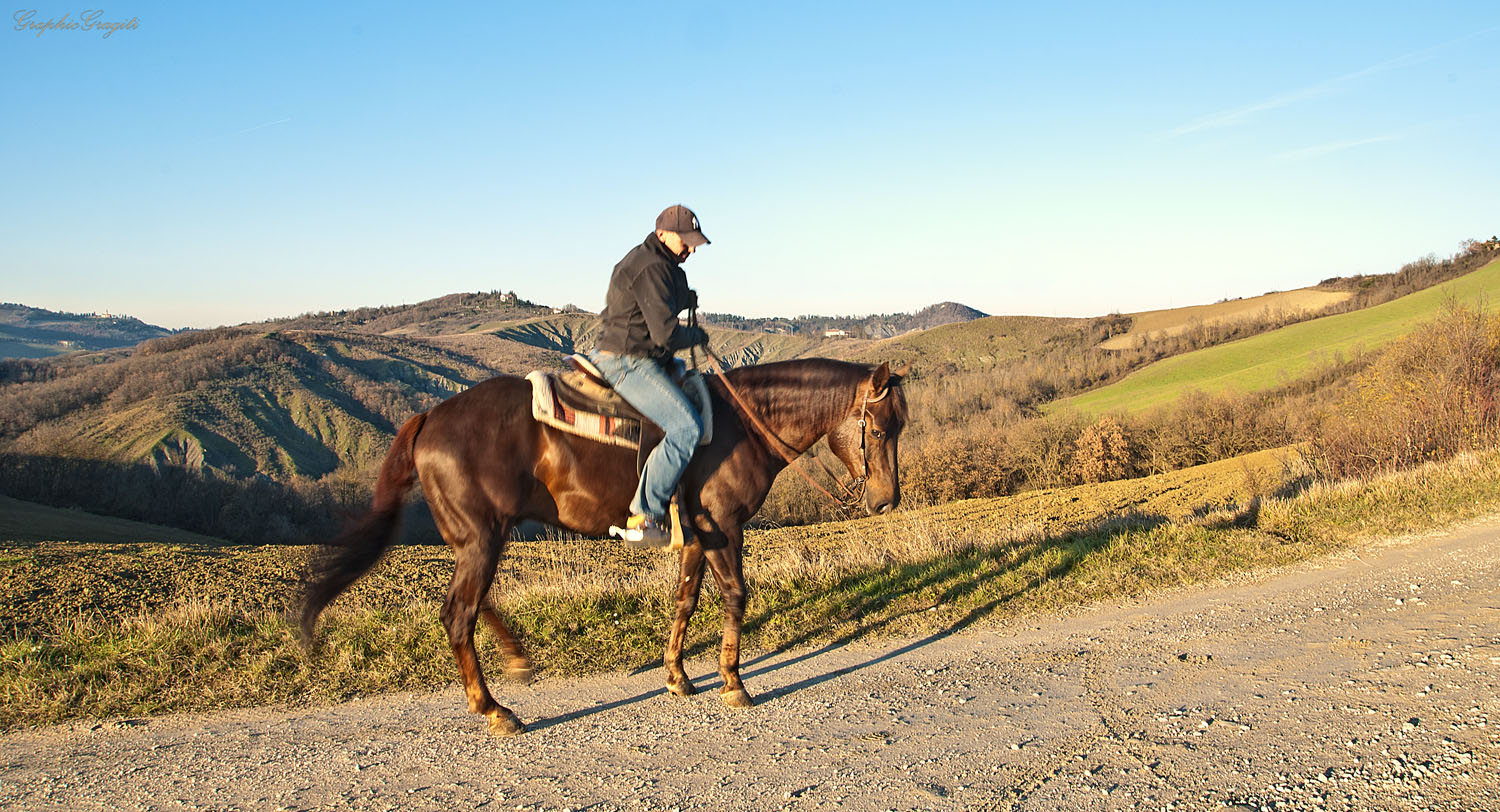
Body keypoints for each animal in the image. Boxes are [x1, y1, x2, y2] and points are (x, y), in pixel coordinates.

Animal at [298, 357, 907, 735]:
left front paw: (678, 677)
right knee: (457, 614)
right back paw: (495, 710)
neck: (742, 426)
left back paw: (515, 662)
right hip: (482, 538)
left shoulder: (695, 533)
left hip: (476, 537)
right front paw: (734, 683)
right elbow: (735, 596)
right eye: (879, 429)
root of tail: (430, 418)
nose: (886, 501)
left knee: (471, 605)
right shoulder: (722, 526)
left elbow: (686, 600)